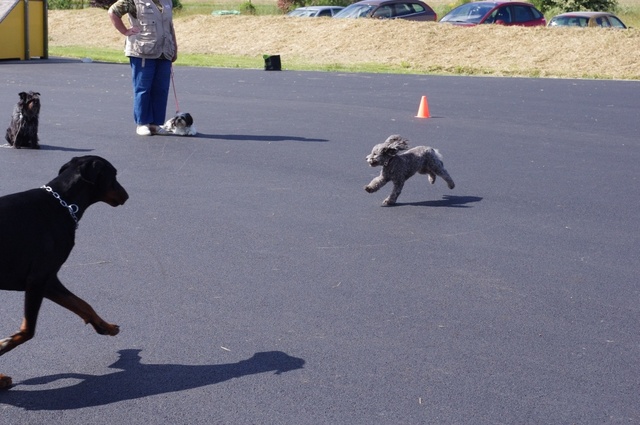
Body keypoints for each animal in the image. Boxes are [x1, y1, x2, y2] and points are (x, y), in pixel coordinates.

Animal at [0, 156, 129, 388]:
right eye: (114, 175)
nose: (127, 195)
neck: (62, 204)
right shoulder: (37, 279)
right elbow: (27, 330)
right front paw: (4, 344)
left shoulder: (49, 281)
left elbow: (82, 304)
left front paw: (105, 326)